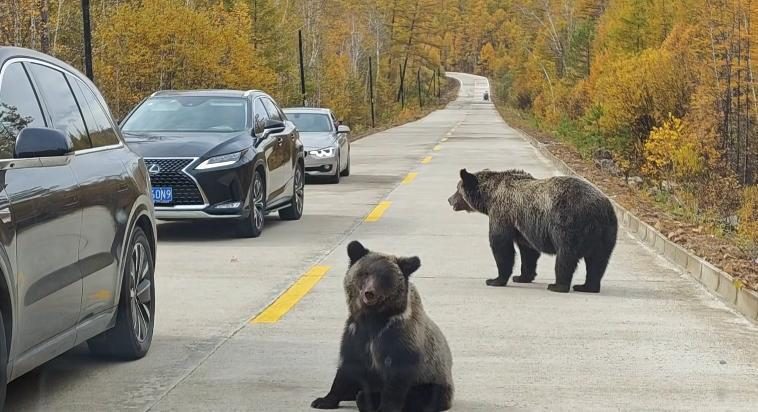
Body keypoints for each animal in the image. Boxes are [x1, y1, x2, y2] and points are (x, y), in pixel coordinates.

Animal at [311, 241, 454, 412]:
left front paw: (384, 406)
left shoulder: (398, 337)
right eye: (365, 273)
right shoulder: (356, 333)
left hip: (433, 384)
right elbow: (347, 367)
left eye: (385, 277)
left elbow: (396, 380)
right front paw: (323, 400)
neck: (373, 319)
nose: (369, 293)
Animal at [447, 168, 618, 293]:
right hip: (606, 233)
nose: (449, 199)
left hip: (568, 224)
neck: (489, 197)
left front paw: (495, 280)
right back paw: (587, 286)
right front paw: (522, 276)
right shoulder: (524, 226)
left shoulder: (503, 213)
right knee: (598, 262)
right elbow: (528, 251)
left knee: (565, 256)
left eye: (457, 189)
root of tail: (598, 210)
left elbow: (501, 245)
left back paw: (557, 286)